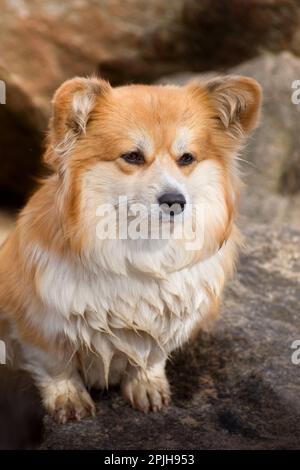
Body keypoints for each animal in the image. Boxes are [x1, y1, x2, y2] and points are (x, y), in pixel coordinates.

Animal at [0, 76, 262, 422]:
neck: (143, 250)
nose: (175, 201)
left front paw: (147, 387)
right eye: (133, 156)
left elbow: (152, 358)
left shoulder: (167, 327)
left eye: (187, 158)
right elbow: (56, 366)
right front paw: (68, 399)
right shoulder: (37, 324)